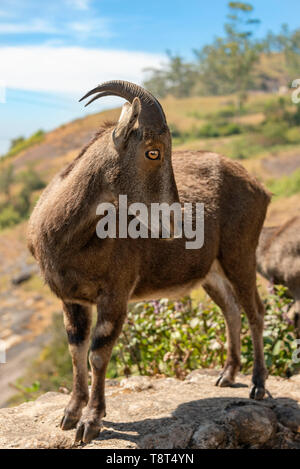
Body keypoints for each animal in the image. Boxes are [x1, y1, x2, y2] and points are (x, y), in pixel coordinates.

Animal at [28, 80, 270, 442]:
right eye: (152, 151)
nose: (176, 221)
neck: (67, 240)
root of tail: (259, 188)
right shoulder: (71, 298)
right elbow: (76, 349)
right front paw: (70, 414)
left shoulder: (116, 293)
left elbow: (98, 353)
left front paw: (91, 422)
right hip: (211, 272)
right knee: (230, 308)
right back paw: (227, 375)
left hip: (239, 253)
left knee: (255, 310)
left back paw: (257, 385)